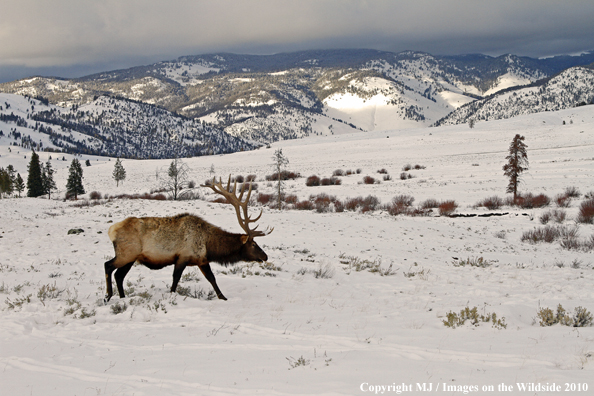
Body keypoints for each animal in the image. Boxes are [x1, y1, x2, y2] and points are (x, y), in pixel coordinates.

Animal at [103, 176, 272, 304]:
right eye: (253, 244)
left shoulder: (201, 260)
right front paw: (171, 295)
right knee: (108, 266)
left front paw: (223, 297)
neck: (209, 245)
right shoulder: (183, 256)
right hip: (127, 253)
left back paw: (122, 297)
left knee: (119, 275)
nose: (265, 256)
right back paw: (107, 296)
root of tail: (111, 231)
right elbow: (176, 279)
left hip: (131, 258)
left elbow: (212, 278)